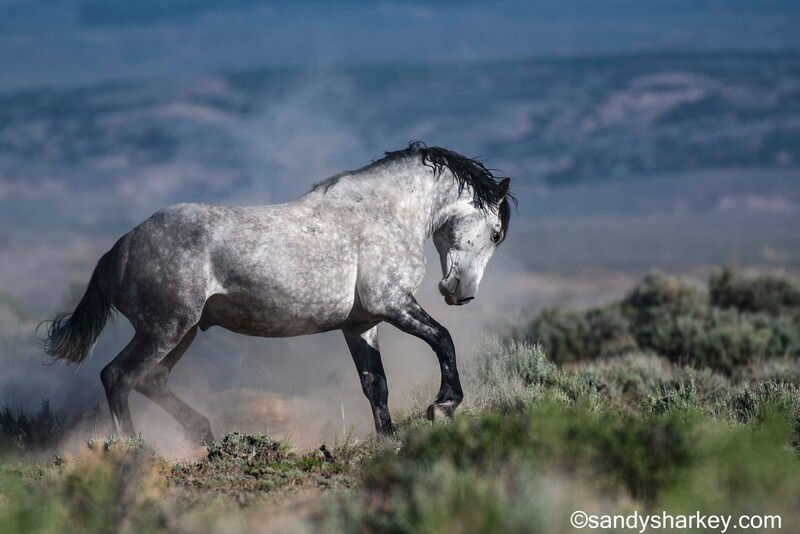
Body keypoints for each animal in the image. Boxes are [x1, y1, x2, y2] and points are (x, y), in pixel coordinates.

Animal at [42, 142, 515, 443]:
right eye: (494, 233)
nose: (461, 292)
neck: (384, 213)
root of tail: (117, 251)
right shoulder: (393, 304)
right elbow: (443, 339)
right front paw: (443, 406)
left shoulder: (362, 324)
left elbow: (375, 385)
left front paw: (389, 439)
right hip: (165, 329)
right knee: (118, 377)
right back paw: (136, 450)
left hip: (183, 331)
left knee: (150, 380)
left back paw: (204, 436)